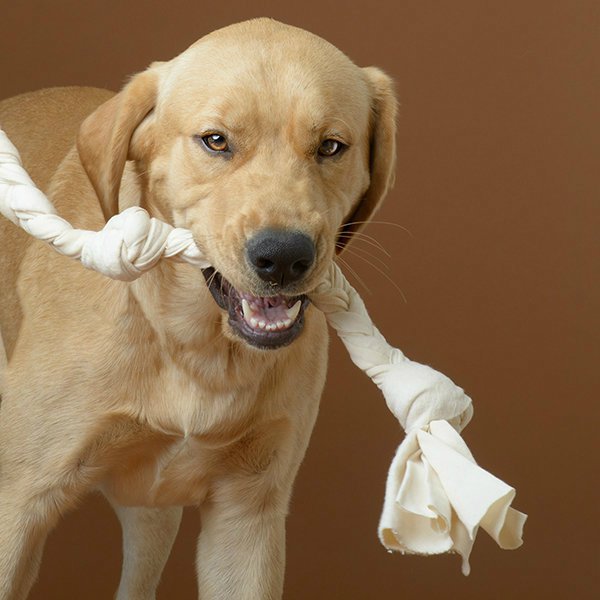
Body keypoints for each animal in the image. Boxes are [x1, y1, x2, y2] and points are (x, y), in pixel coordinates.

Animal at [0, 18, 396, 600]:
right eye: (216, 140)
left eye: (330, 146)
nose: (284, 257)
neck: (193, 346)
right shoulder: (18, 505)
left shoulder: (247, 518)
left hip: (153, 515)